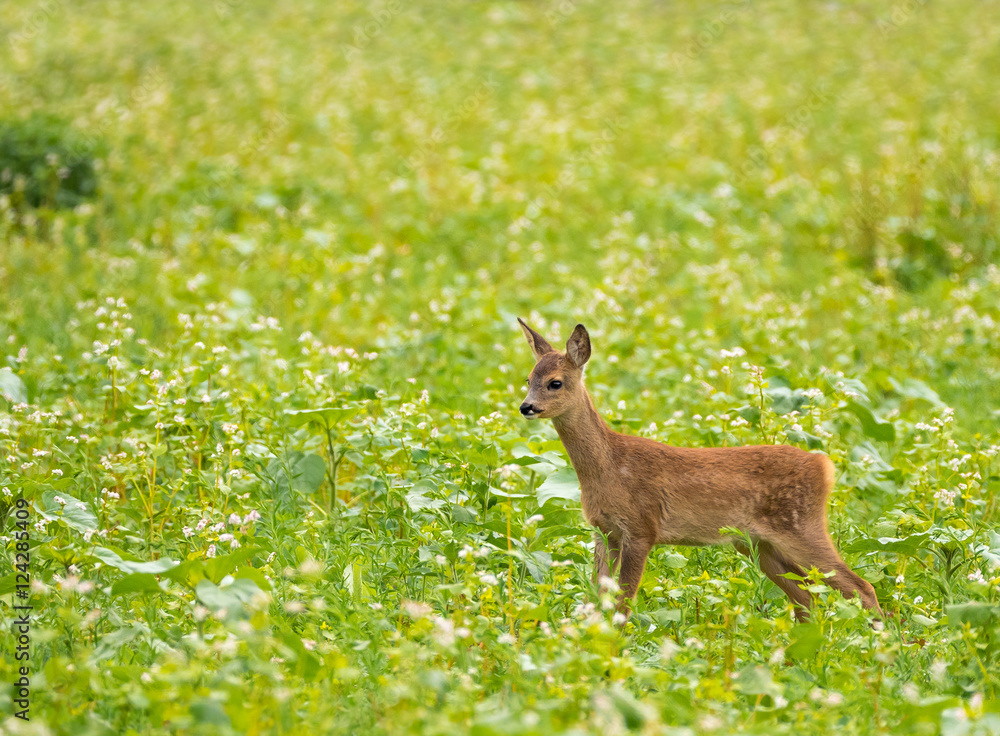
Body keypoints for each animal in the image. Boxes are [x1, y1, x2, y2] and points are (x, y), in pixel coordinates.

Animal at [517, 318, 881, 622]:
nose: (526, 407)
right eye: (529, 379)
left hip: (801, 527)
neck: (608, 467)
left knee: (861, 587)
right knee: (807, 598)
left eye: (555, 383)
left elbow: (623, 602)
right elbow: (596, 596)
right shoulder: (603, 531)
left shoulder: (642, 527)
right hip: (760, 545)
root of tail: (823, 465)